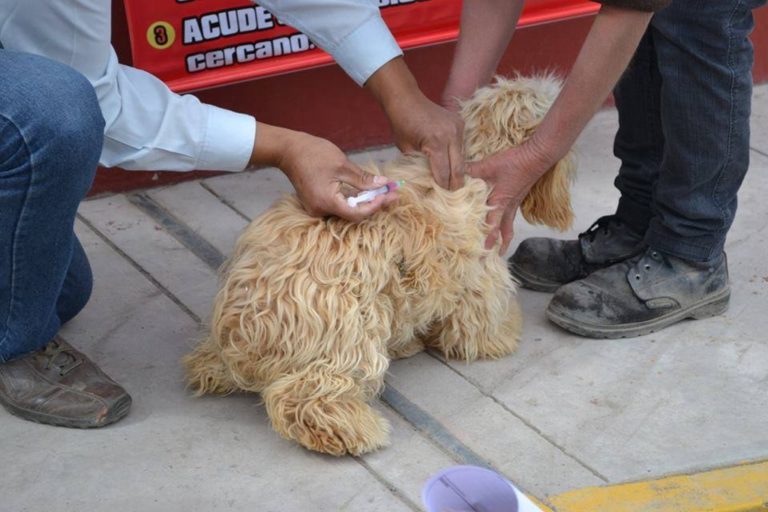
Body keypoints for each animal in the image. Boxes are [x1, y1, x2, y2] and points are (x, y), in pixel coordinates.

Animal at [183, 76, 572, 456]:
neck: (477, 158)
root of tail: (241, 325)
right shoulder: (479, 272)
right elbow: (478, 322)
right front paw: (502, 336)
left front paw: (410, 343)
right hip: (349, 331)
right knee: (306, 397)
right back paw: (349, 431)